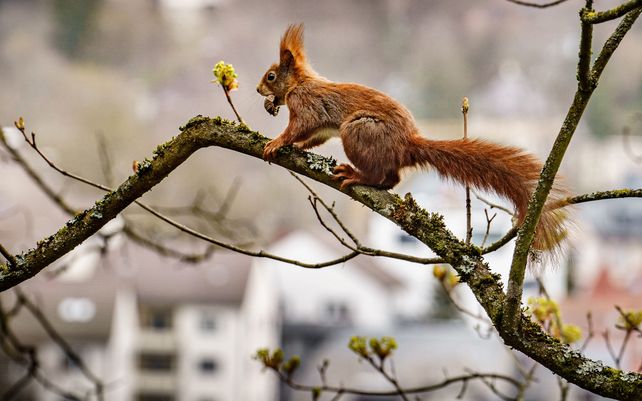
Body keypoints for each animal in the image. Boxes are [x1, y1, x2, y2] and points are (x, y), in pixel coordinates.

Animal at [257, 24, 568, 255]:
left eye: (271, 76)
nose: (259, 90)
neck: (300, 83)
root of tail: (407, 144)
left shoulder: (306, 105)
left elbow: (298, 127)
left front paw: (277, 142)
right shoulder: (321, 129)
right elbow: (313, 139)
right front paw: (296, 146)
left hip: (358, 132)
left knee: (382, 176)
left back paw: (357, 175)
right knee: (392, 178)